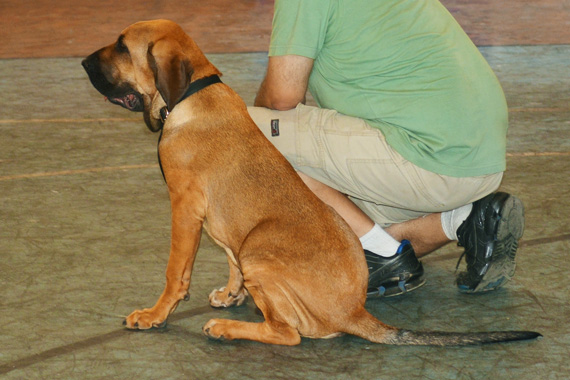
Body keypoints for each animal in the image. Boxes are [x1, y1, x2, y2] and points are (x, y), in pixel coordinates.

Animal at [81, 20, 536, 348]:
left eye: (122, 46)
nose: (83, 62)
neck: (193, 94)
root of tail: (354, 312)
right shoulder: (223, 228)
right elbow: (229, 256)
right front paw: (232, 293)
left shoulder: (185, 209)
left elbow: (176, 272)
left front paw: (154, 315)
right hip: (254, 249)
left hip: (260, 251)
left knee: (289, 335)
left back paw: (226, 327)